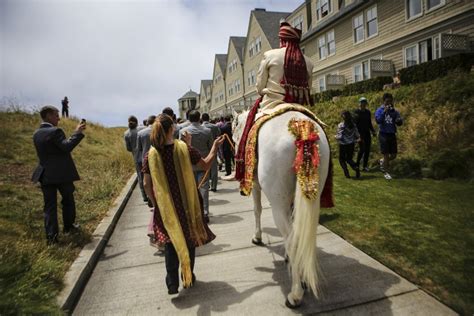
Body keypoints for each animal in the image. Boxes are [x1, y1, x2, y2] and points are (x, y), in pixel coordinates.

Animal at [232, 109, 330, 308]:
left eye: (233, 131)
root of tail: (301, 126)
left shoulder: (255, 184)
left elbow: (257, 209)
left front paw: (257, 237)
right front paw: (288, 258)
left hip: (277, 203)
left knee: (293, 239)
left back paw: (295, 294)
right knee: (302, 234)